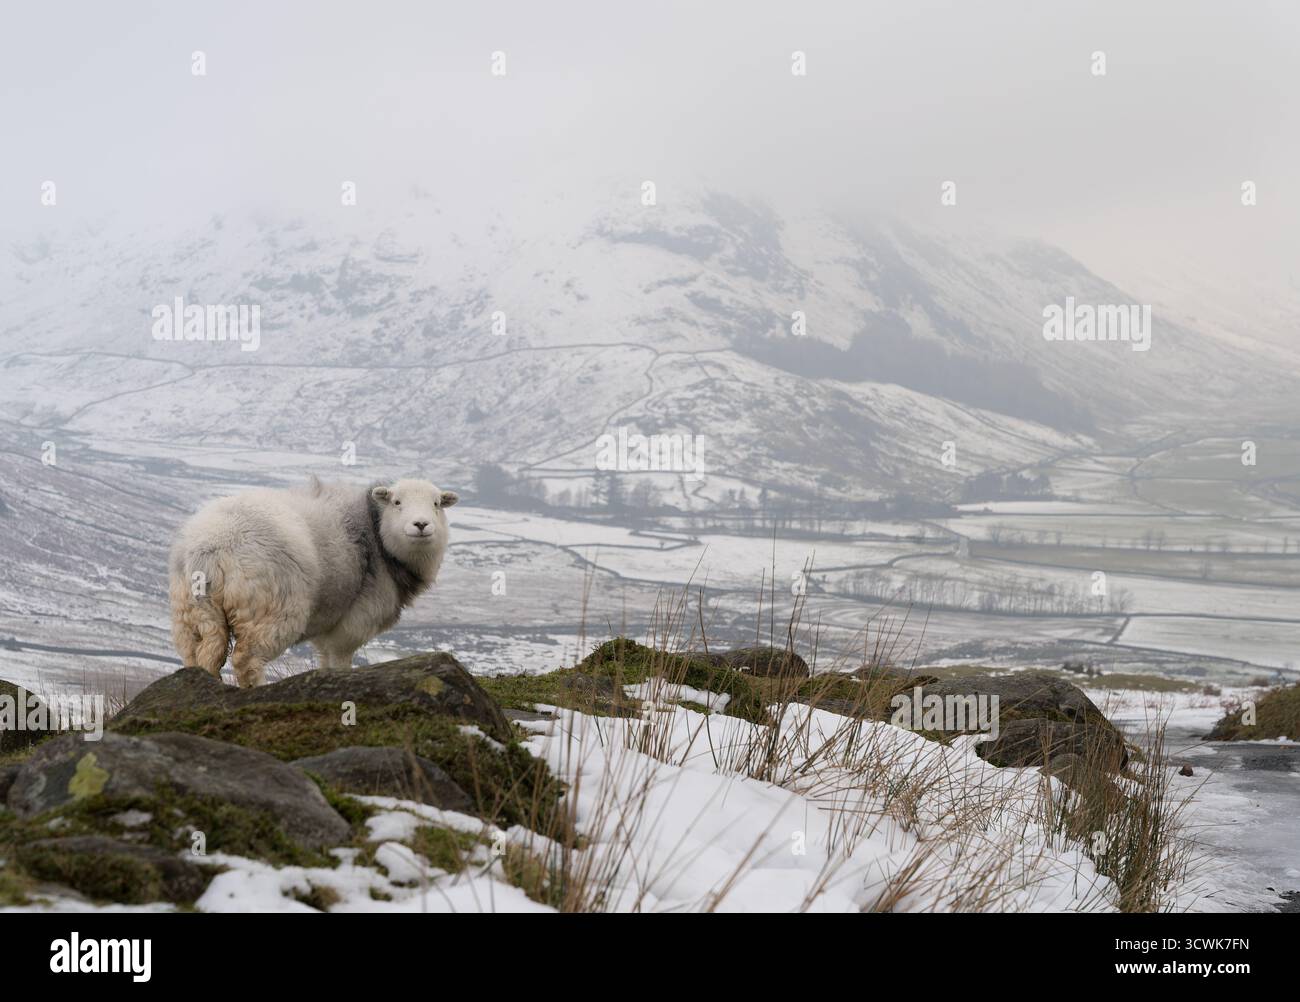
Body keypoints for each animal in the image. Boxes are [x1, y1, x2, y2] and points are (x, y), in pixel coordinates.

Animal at [168, 477, 457, 687]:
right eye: (397, 502)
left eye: (436, 504)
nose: (421, 524)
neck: (380, 540)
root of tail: (210, 549)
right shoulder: (352, 624)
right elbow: (339, 662)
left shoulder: (327, 624)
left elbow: (324, 660)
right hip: (271, 610)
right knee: (247, 659)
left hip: (192, 614)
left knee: (201, 656)